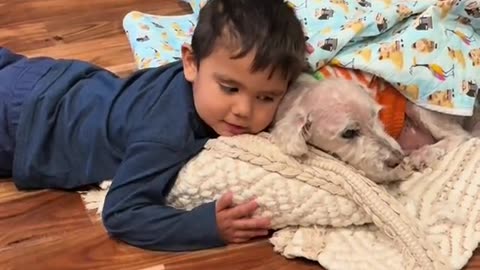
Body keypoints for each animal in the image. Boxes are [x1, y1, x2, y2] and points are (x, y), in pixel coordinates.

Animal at [272, 74, 478, 184]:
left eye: (377, 115)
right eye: (348, 133)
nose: (397, 159)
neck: (300, 93)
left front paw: (403, 168)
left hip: (420, 105)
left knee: (459, 135)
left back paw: (423, 155)